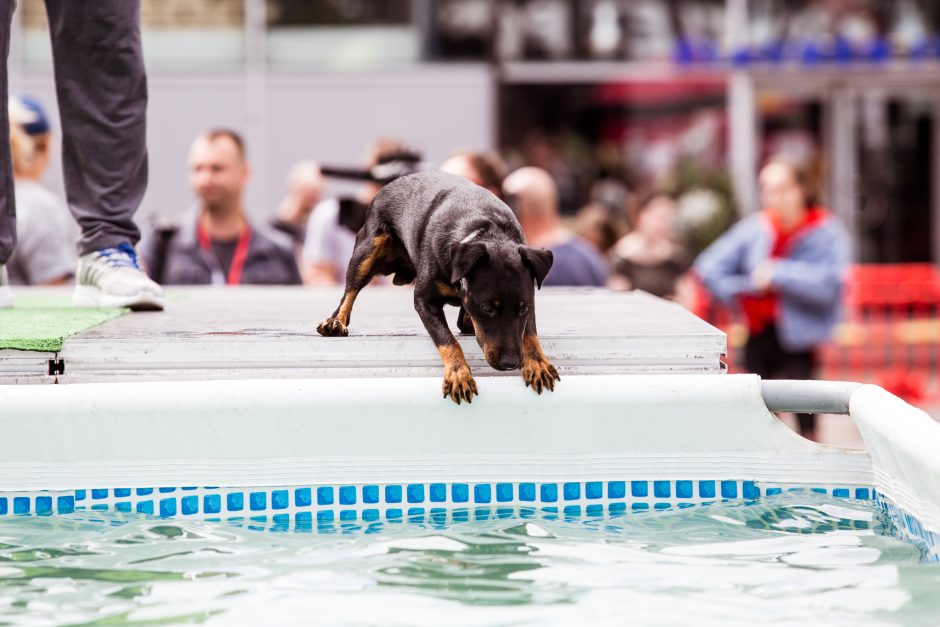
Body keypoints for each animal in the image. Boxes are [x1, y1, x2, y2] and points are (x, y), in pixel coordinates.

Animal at [316, 170, 560, 402]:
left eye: (523, 308)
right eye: (487, 308)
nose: (510, 363)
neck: (485, 233)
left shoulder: (529, 296)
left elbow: (529, 333)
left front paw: (537, 362)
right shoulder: (424, 300)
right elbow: (447, 339)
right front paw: (459, 374)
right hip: (368, 250)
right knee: (350, 291)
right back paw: (336, 322)